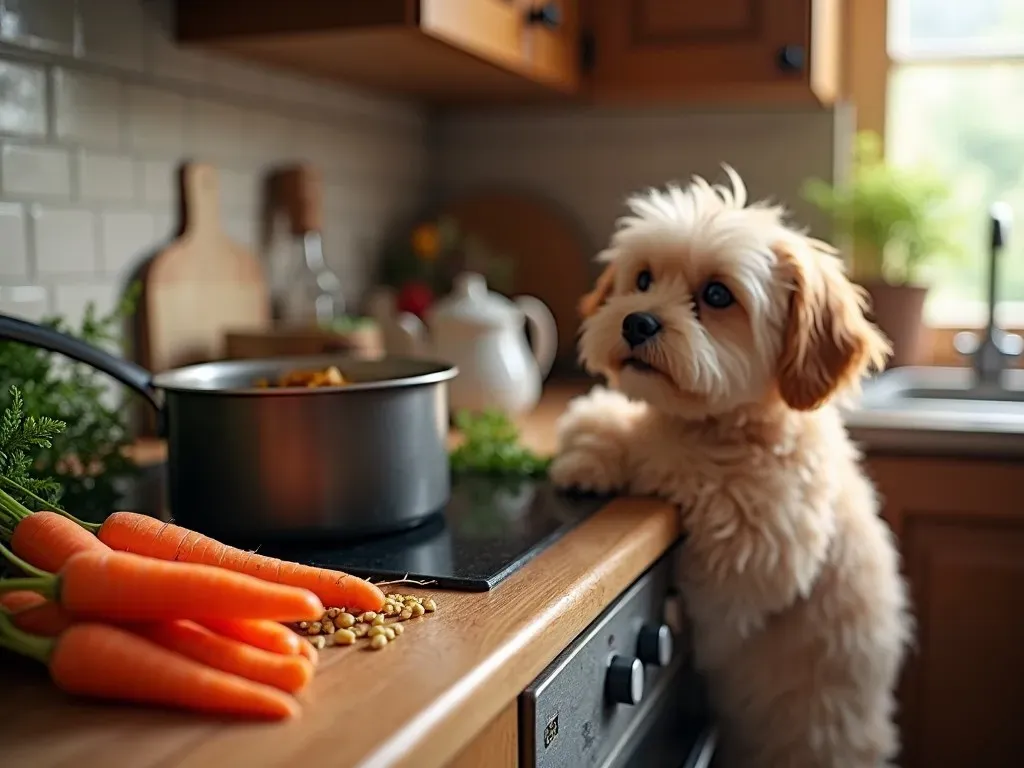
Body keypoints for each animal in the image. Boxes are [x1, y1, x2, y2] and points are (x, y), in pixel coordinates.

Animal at [552, 169, 913, 768]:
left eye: (718, 295)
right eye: (643, 279)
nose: (636, 321)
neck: (727, 427)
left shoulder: (759, 550)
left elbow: (674, 462)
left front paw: (618, 450)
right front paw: (589, 449)